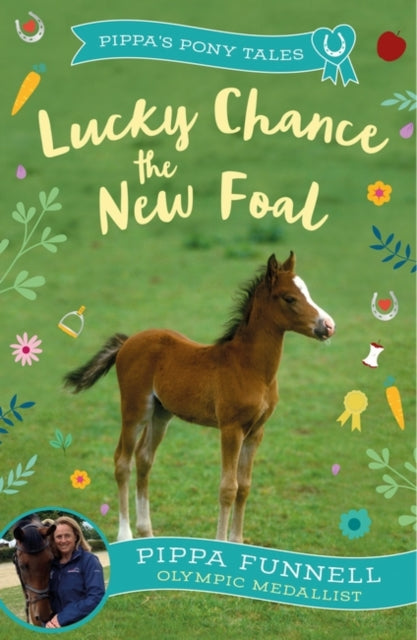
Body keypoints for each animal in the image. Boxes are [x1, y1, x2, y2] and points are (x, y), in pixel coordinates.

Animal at [64, 252, 335, 543]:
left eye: (307, 292)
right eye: (289, 298)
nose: (328, 326)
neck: (250, 367)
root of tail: (128, 342)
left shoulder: (256, 431)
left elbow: (244, 487)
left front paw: (238, 542)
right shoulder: (231, 429)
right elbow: (228, 488)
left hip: (161, 413)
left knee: (144, 458)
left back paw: (147, 533)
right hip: (135, 409)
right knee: (122, 462)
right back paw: (125, 535)